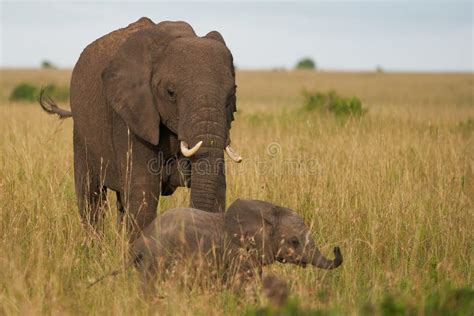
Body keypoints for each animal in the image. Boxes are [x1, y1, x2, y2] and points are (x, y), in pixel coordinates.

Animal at [38, 16, 241, 236]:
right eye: (171, 92)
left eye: (231, 93)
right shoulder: (129, 115)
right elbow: (143, 192)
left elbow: (218, 186)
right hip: (81, 131)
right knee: (91, 197)